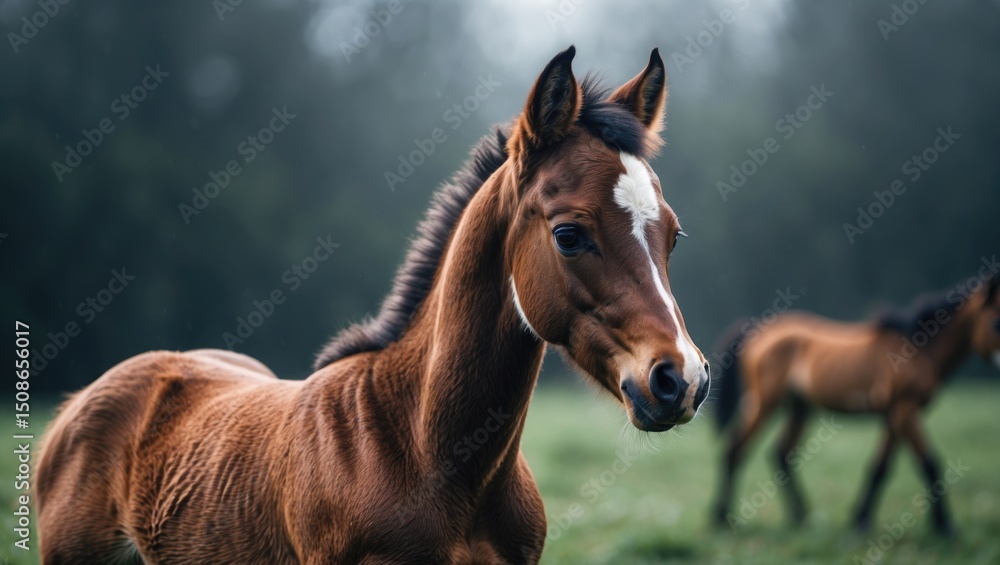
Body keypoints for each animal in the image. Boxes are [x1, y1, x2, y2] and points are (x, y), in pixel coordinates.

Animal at [711, 270, 1000, 534]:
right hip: (764, 404)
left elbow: (880, 468)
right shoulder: (905, 409)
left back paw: (802, 518)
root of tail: (758, 330)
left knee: (780, 455)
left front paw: (860, 520)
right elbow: (929, 463)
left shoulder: (893, 414)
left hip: (799, 408)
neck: (920, 347)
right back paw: (721, 518)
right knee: (736, 449)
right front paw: (945, 527)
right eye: (995, 324)